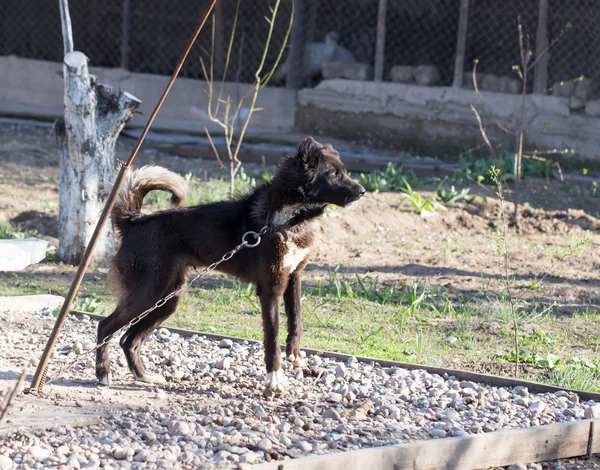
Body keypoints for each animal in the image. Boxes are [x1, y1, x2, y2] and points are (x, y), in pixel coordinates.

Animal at [97, 137, 366, 392]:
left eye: (343, 171)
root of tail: (134, 221)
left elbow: (296, 321)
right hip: (148, 294)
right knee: (105, 326)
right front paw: (274, 379)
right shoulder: (270, 289)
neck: (289, 217)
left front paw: (296, 358)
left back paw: (144, 376)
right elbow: (273, 336)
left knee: (129, 340)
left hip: (167, 299)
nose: (363, 191)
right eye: (333, 174)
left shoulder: (293, 278)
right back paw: (103, 374)